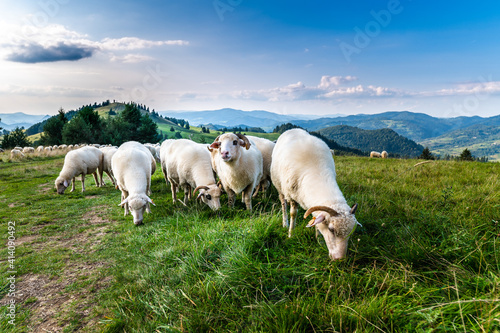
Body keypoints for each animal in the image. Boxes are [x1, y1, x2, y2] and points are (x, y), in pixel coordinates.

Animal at [270, 128, 360, 260]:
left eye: (351, 232)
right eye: (331, 229)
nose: (339, 259)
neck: (317, 171)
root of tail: (293, 129)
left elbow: (316, 220)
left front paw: (319, 240)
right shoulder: (292, 196)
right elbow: (293, 214)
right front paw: (291, 234)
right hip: (279, 186)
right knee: (283, 205)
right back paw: (285, 223)